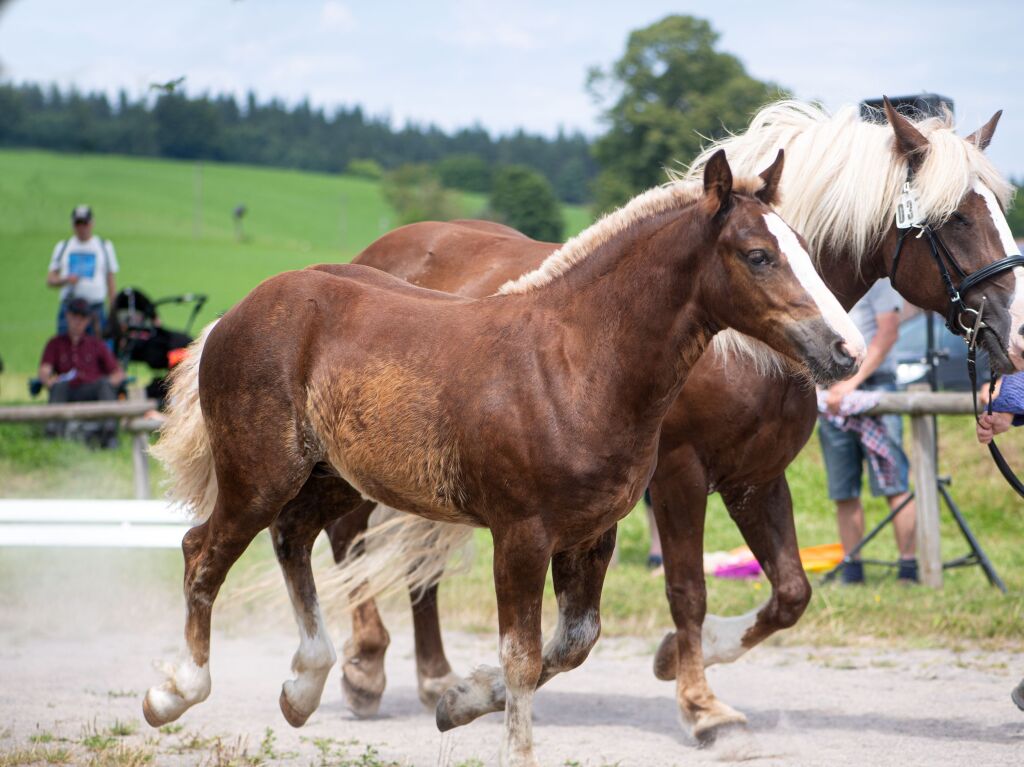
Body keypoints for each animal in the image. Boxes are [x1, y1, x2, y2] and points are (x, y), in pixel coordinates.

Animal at [144, 151, 864, 765]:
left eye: (808, 249)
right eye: (758, 255)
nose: (846, 350)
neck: (575, 364)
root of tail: (237, 312)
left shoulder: (592, 535)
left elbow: (572, 644)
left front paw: (458, 700)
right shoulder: (521, 534)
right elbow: (522, 654)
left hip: (337, 476)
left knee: (293, 537)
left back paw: (304, 687)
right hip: (260, 474)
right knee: (203, 551)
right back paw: (174, 692)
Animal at [317, 95, 1024, 741]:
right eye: (956, 218)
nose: (1013, 338)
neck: (738, 348)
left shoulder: (755, 479)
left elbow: (791, 593)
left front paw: (667, 660)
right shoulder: (681, 477)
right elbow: (688, 590)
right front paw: (701, 705)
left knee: (418, 557)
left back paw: (435, 676)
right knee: (351, 536)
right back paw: (365, 670)